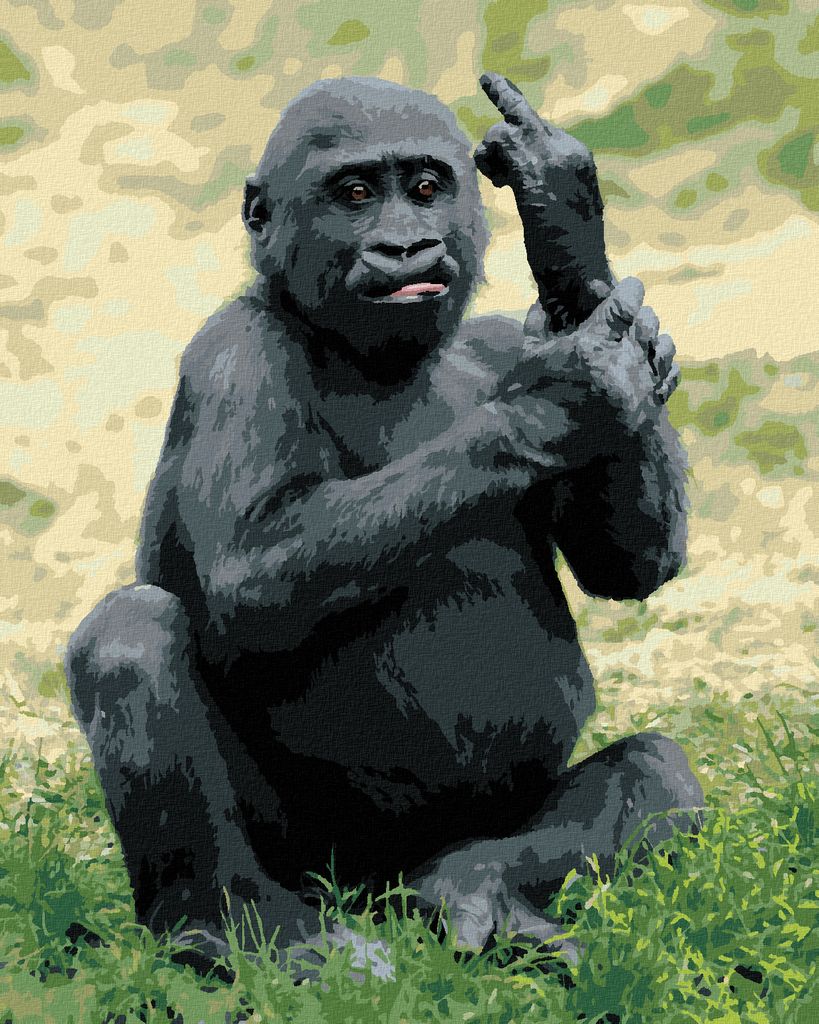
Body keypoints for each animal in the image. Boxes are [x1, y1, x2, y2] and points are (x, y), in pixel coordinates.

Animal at [65, 74, 701, 969]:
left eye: (426, 188)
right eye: (357, 194)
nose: (404, 248)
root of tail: (374, 890)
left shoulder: (495, 342)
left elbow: (629, 564)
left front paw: (566, 235)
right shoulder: (232, 358)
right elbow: (249, 572)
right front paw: (562, 398)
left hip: (464, 839)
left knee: (658, 771)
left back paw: (472, 886)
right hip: (311, 864)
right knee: (128, 632)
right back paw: (230, 921)